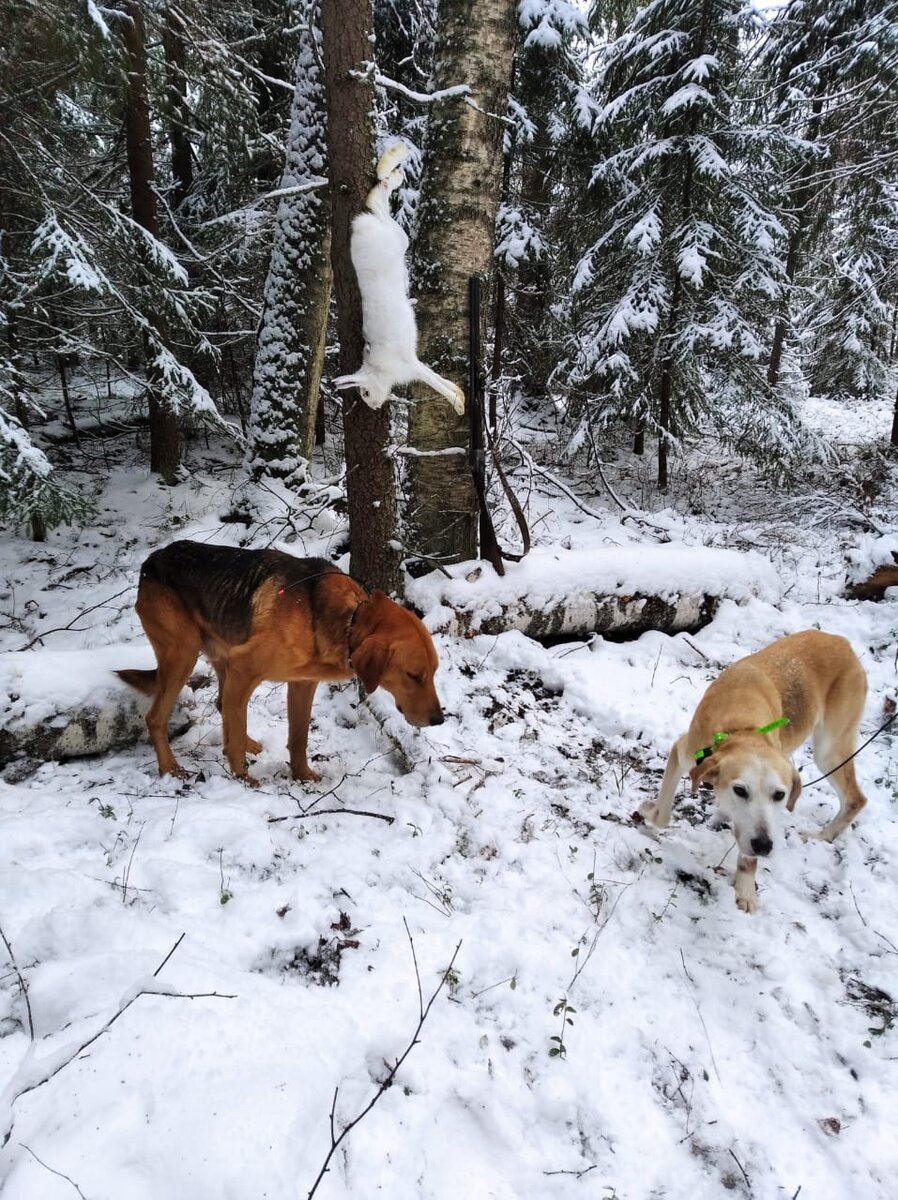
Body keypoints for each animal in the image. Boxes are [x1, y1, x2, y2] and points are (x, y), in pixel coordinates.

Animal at [115, 540, 446, 782]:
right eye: (414, 675)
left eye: (433, 673)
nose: (439, 721)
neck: (349, 620)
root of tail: (151, 561)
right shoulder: (244, 668)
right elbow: (238, 738)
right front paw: (243, 781)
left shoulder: (302, 684)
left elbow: (298, 739)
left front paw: (302, 776)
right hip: (184, 654)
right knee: (157, 718)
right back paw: (170, 768)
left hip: (221, 655)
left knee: (225, 706)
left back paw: (247, 743)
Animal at [638, 628, 869, 907]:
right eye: (740, 790)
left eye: (779, 795)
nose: (763, 846)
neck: (742, 726)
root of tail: (842, 642)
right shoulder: (682, 751)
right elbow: (662, 814)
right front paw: (649, 812)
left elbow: (749, 859)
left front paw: (745, 889)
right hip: (827, 753)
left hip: (830, 750)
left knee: (855, 799)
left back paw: (820, 837)